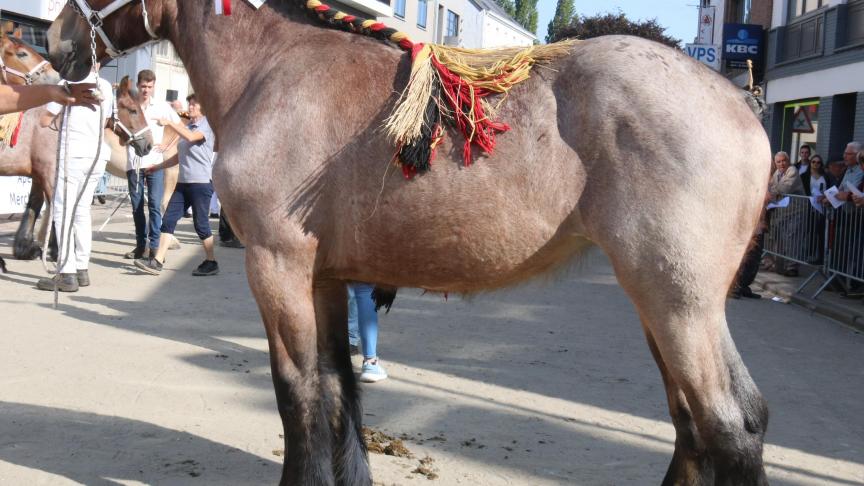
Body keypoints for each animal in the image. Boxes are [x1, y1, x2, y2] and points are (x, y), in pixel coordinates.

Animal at [47, 1, 772, 484]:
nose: (56, 41)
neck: (271, 69)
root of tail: (740, 104)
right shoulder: (325, 278)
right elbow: (338, 388)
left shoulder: (277, 266)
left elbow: (297, 393)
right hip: (662, 301)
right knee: (699, 420)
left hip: (677, 298)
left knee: (727, 422)